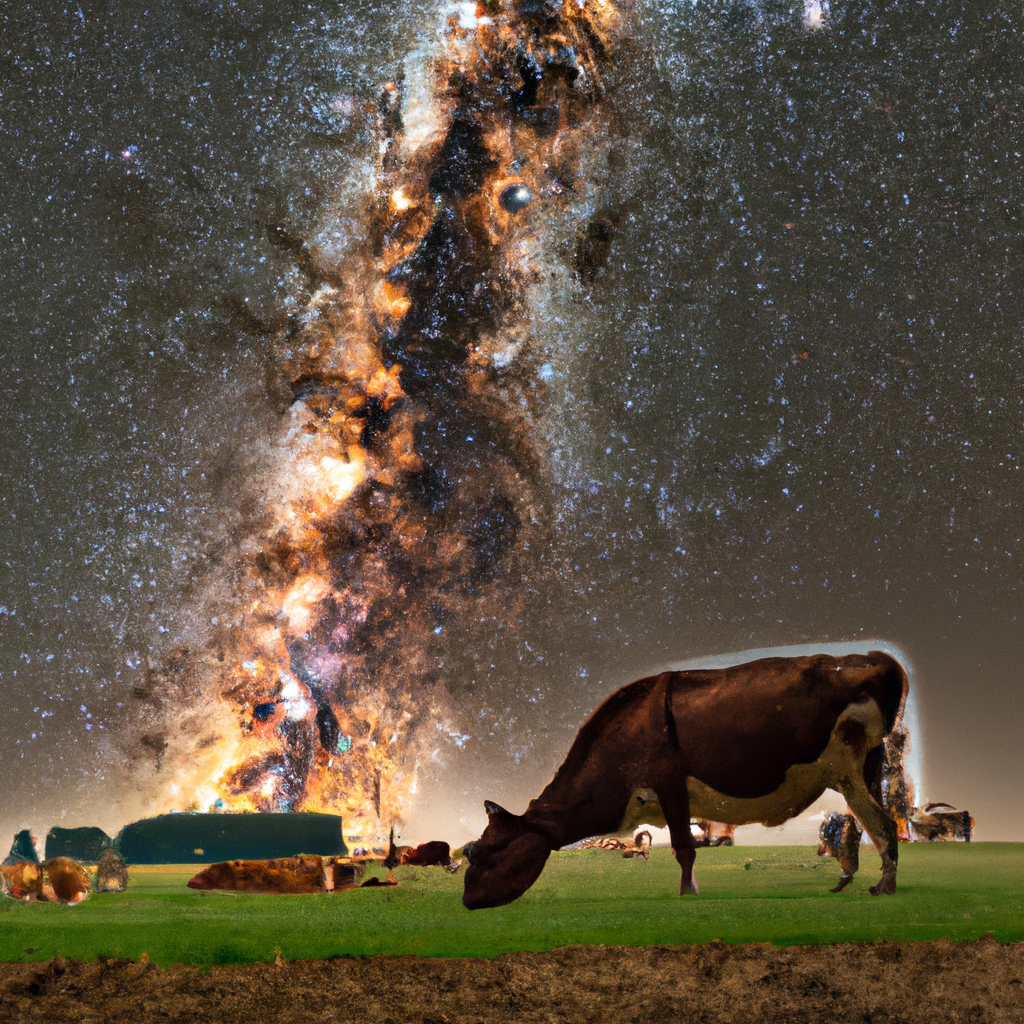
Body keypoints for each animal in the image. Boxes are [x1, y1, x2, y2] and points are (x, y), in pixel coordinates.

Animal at [462, 651, 905, 909]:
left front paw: (686, 895)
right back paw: (856, 883)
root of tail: (873, 657)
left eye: (483, 852)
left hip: (850, 767)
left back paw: (884, 888)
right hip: (856, 771)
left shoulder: (670, 785)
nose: (466, 900)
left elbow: (683, 848)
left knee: (883, 826)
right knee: (873, 826)